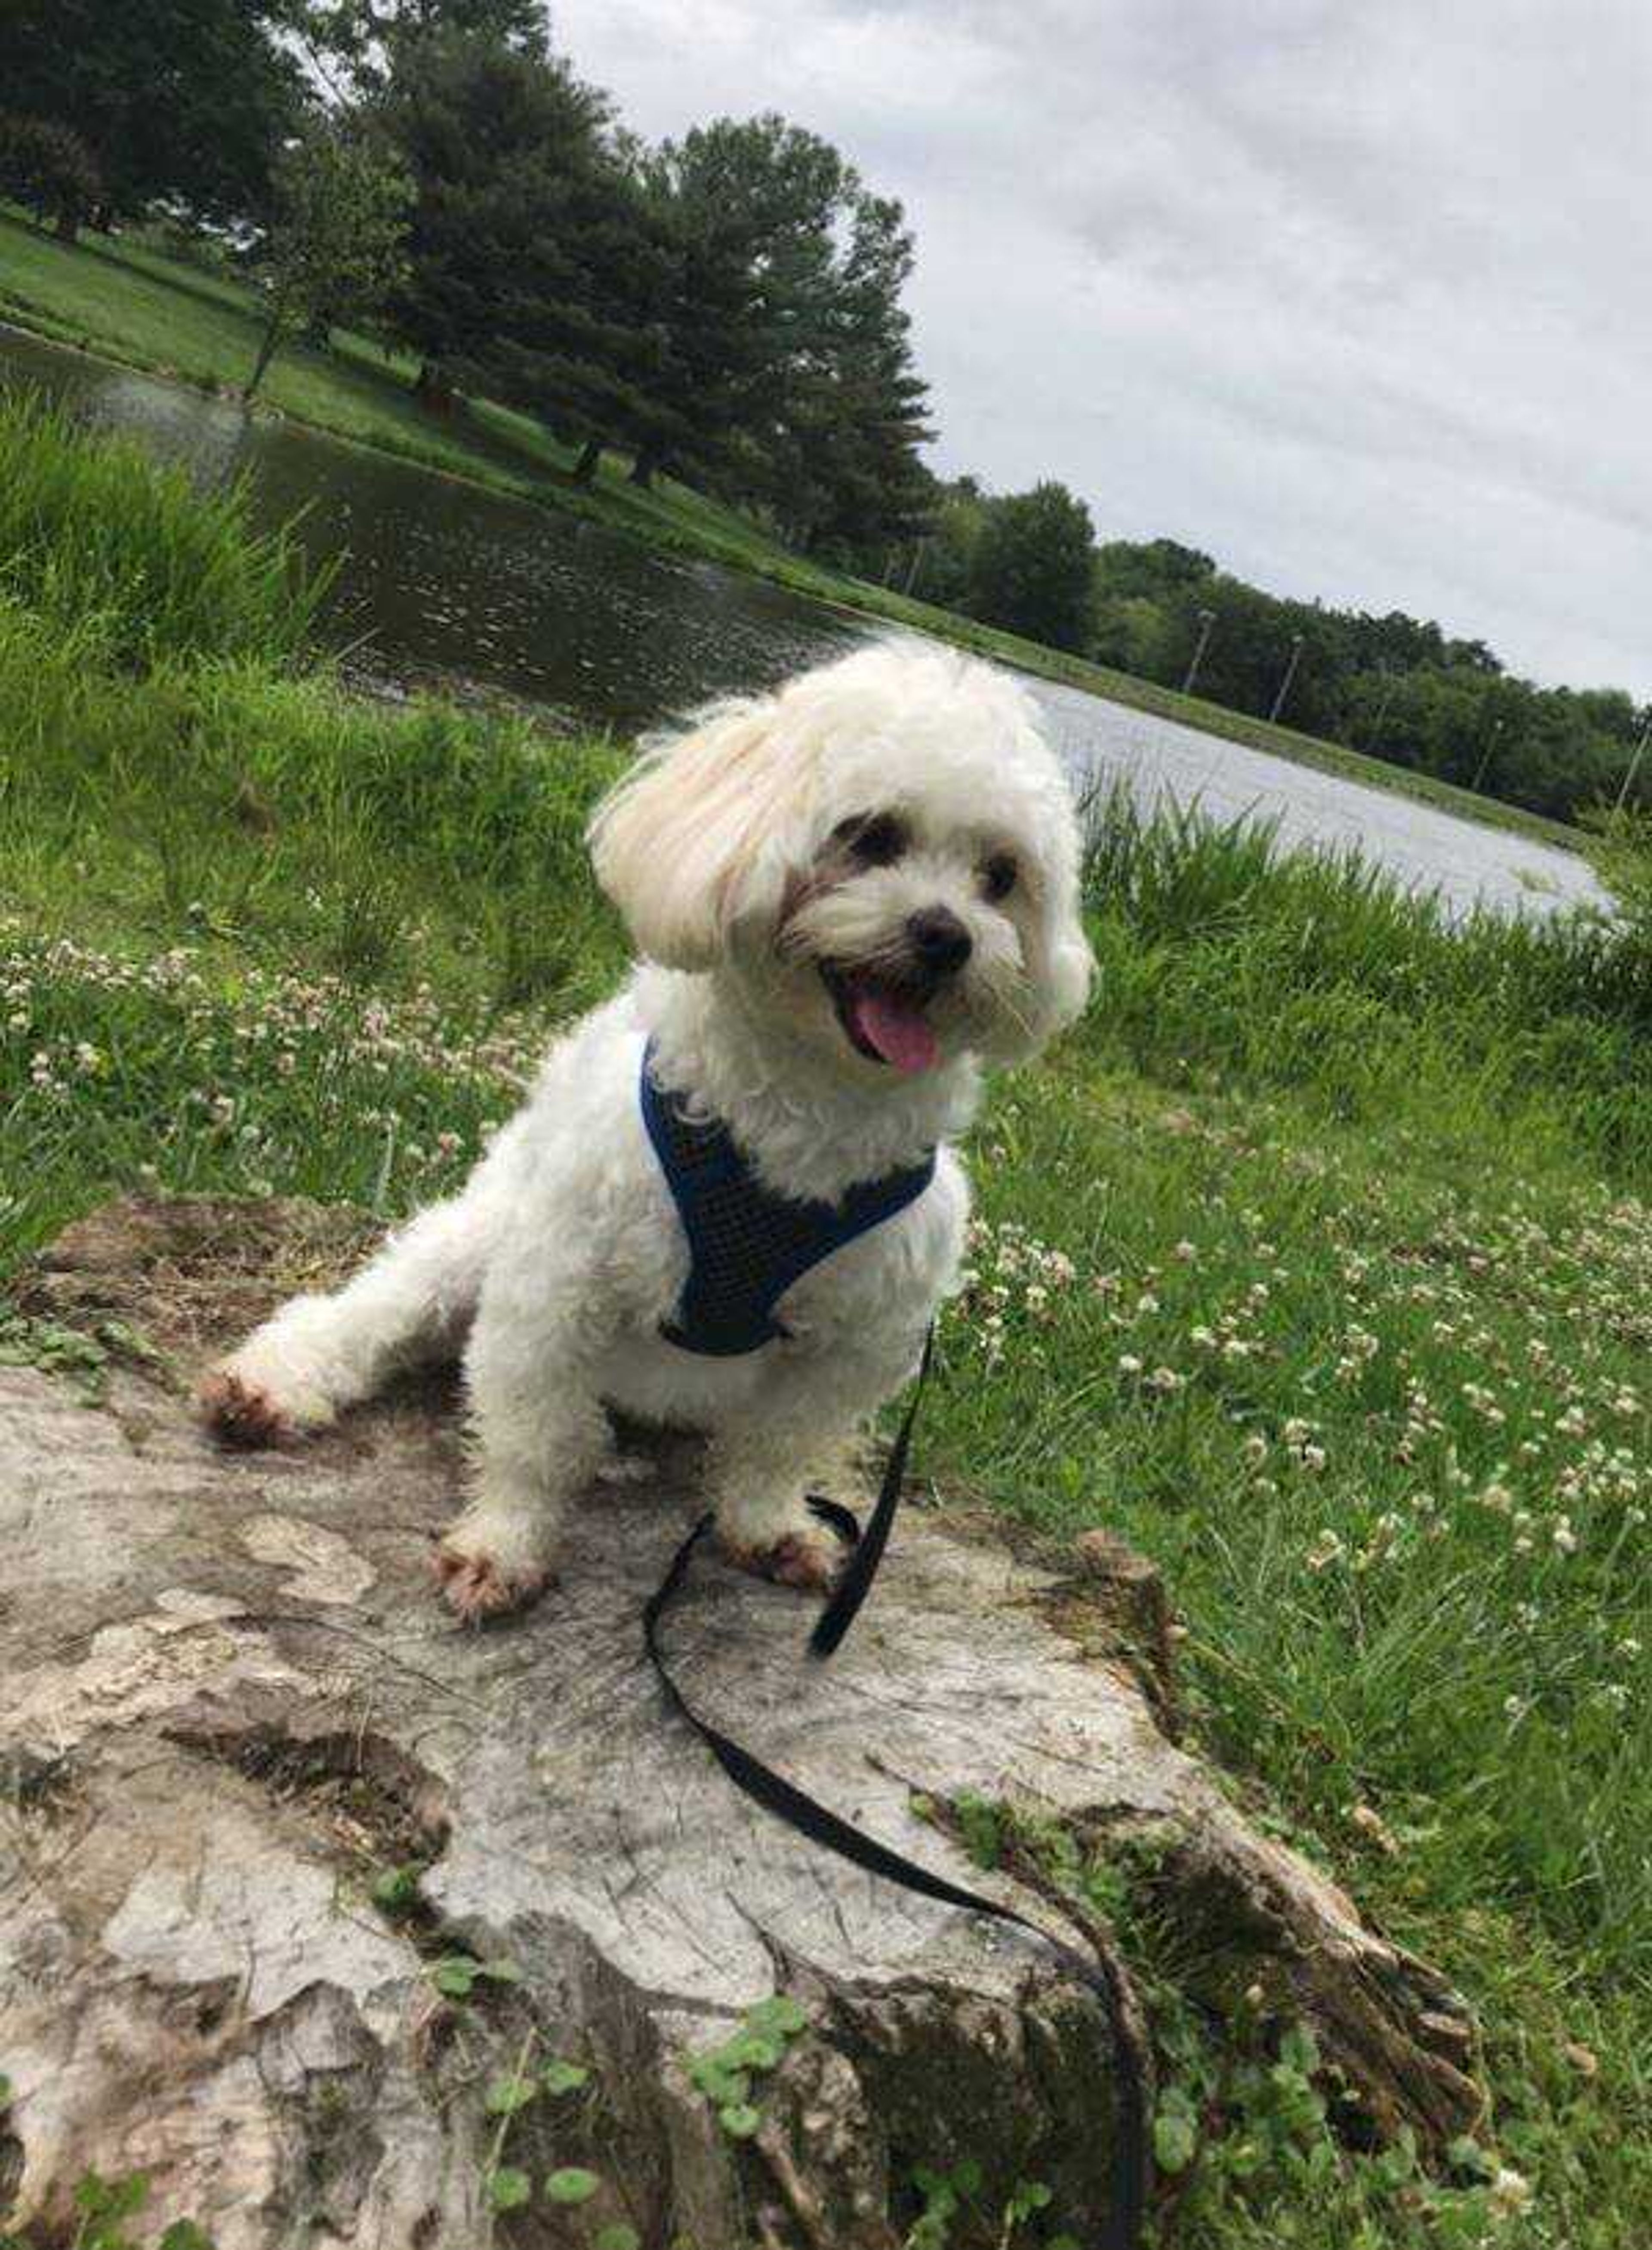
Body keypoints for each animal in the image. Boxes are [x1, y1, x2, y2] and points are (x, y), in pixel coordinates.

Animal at [197, 643, 1098, 1629]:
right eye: (870, 835)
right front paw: (507, 1542)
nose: (948, 936)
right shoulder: (558, 1281)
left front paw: (767, 1526)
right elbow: (539, 1435)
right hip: (473, 1241)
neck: (807, 1112)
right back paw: (277, 1382)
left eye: (1000, 876)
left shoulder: (866, 1334)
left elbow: (779, 1442)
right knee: (369, 1315)